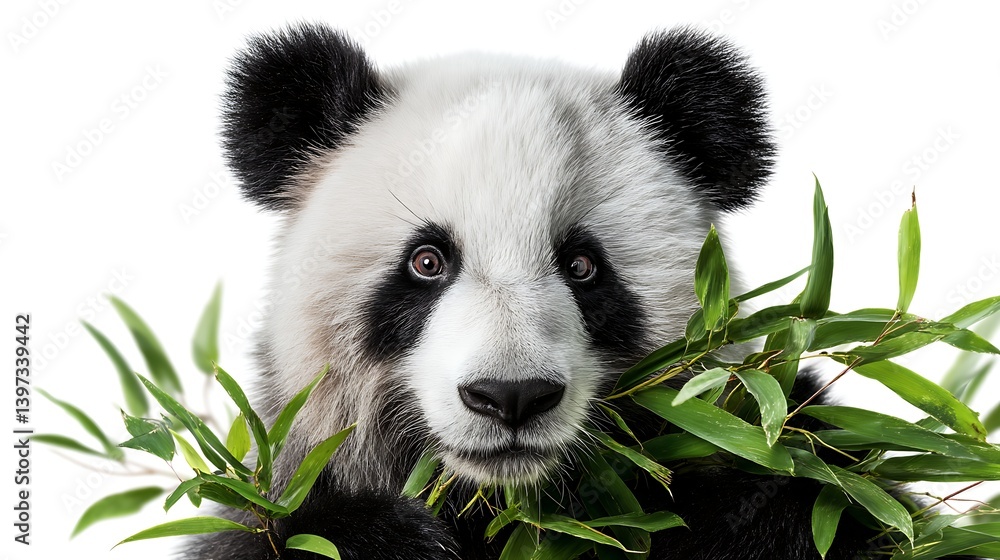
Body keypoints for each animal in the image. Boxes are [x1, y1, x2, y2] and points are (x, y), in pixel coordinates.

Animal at [185, 23, 940, 560]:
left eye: (582, 266)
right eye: (427, 262)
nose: (510, 397)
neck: (504, 505)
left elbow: (816, 493)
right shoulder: (282, 482)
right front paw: (389, 540)